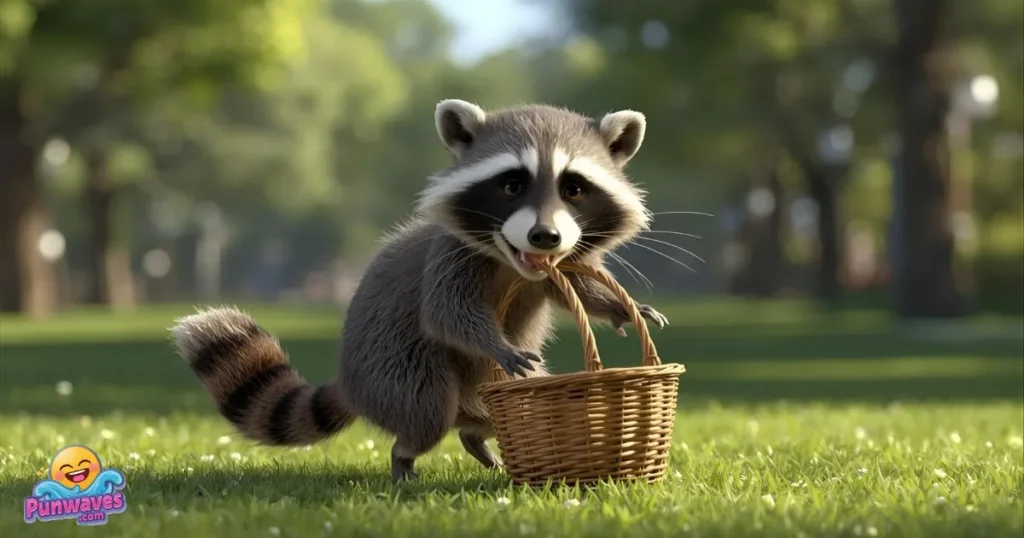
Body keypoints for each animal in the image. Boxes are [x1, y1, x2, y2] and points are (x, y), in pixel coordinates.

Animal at [170, 99, 669, 483]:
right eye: (511, 185)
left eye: (574, 189)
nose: (544, 236)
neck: (513, 265)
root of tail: (350, 381)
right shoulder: (447, 258)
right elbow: (448, 313)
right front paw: (495, 342)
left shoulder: (558, 260)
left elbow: (578, 286)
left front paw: (622, 308)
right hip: (391, 364)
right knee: (426, 409)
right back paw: (405, 454)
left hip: (478, 388)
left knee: (504, 408)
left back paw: (476, 437)